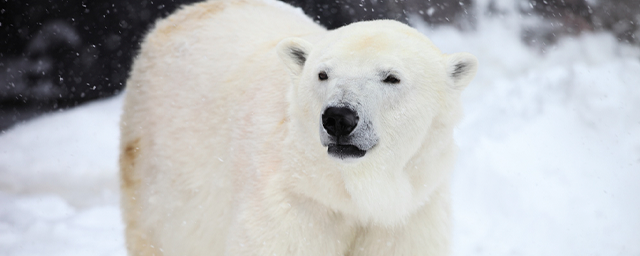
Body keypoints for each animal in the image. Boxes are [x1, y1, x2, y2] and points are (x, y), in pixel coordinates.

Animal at [121, 0, 476, 255]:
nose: (338, 117)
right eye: (323, 74)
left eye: (391, 77)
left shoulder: (407, 218)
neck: (351, 197)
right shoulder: (294, 207)